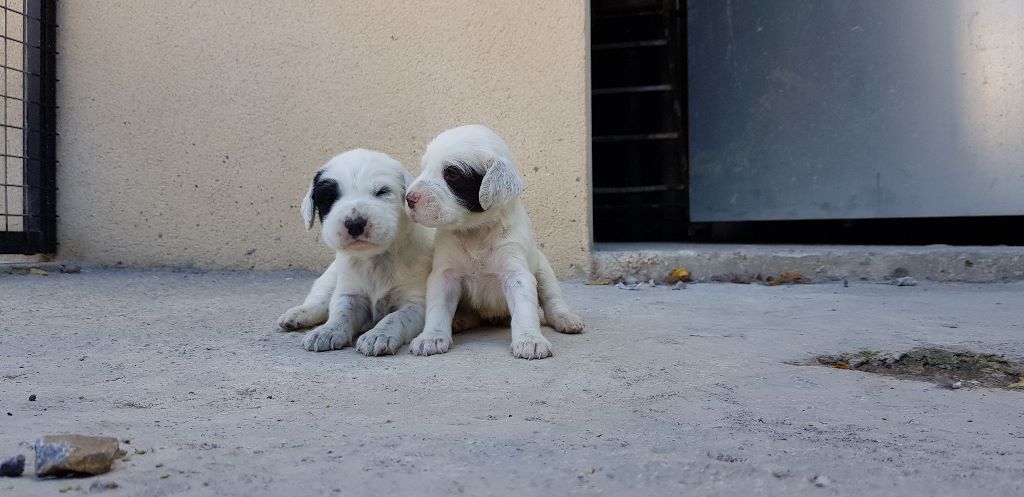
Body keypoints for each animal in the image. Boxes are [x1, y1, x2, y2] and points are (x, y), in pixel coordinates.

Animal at [276, 149, 432, 354]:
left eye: (382, 192)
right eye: (329, 197)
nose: (355, 224)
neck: (376, 258)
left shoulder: (415, 302)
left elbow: (395, 317)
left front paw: (377, 335)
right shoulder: (350, 292)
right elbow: (341, 311)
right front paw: (327, 331)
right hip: (330, 276)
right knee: (320, 300)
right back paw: (298, 314)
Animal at [405, 123, 585, 356]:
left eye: (452, 174)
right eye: (424, 168)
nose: (408, 198)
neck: (475, 231)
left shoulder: (516, 272)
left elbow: (525, 310)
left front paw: (530, 340)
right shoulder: (445, 274)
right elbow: (438, 308)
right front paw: (431, 337)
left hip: (544, 268)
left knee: (552, 298)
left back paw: (565, 318)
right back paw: (460, 320)